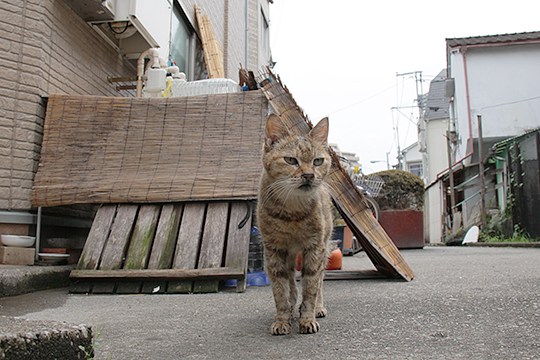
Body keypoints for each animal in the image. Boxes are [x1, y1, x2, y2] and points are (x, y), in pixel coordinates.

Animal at [258, 113, 334, 334]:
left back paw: (318, 307)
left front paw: (308, 318)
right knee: (291, 280)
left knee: (320, 281)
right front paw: (282, 319)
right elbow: (281, 290)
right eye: (291, 160)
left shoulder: (315, 248)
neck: (292, 214)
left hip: (324, 248)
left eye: (318, 161)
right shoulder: (274, 250)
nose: (309, 175)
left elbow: (310, 287)